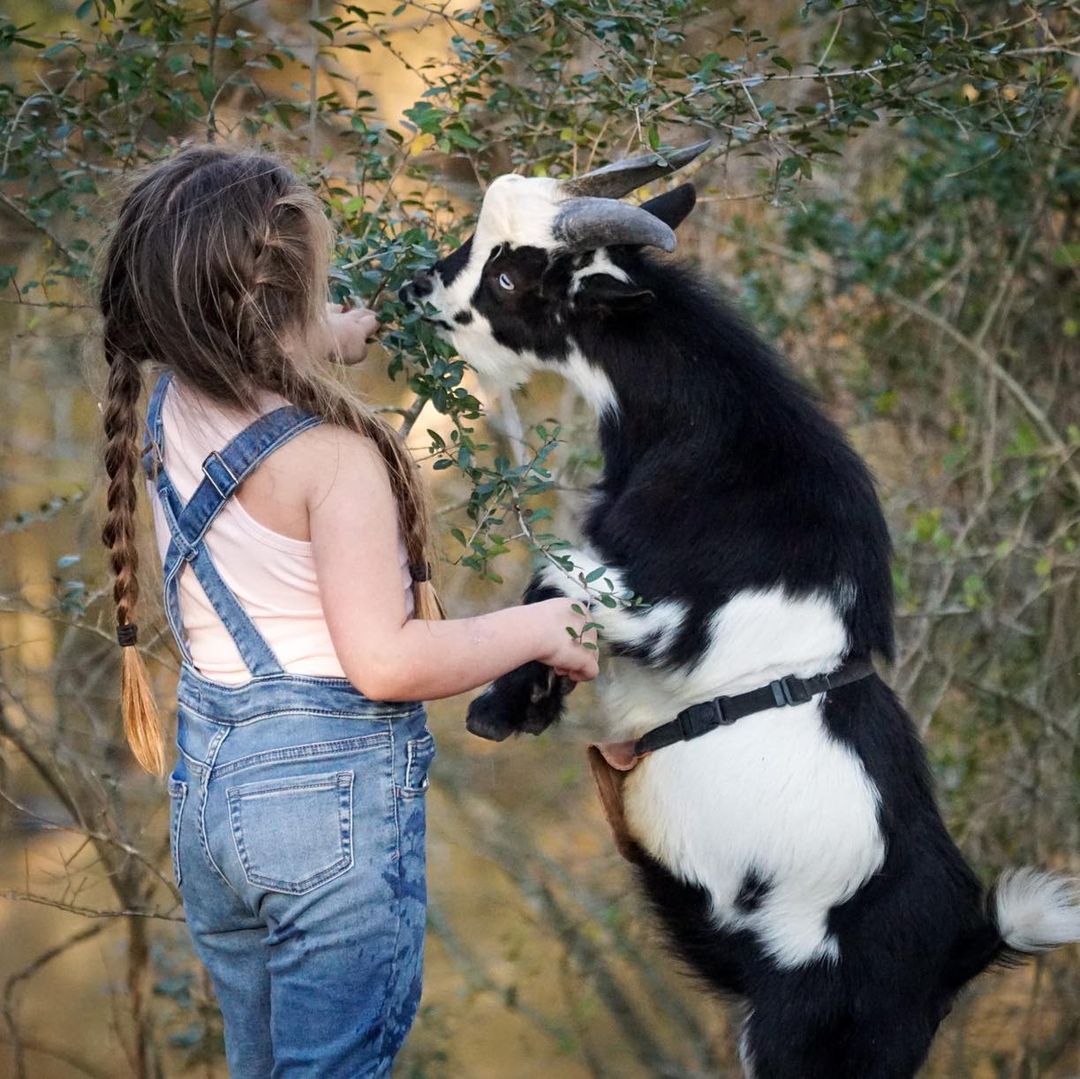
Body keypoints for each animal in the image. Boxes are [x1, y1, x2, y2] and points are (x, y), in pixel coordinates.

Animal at [401, 145, 1080, 1078]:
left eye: (507, 275)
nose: (415, 289)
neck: (716, 440)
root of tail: (962, 948)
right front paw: (530, 701)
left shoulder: (662, 609)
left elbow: (552, 578)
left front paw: (502, 708)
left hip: (808, 1031)